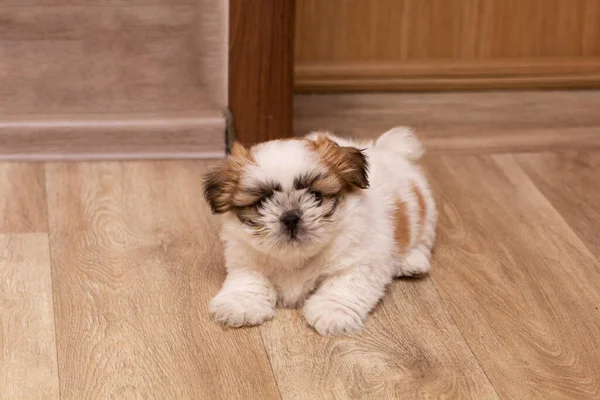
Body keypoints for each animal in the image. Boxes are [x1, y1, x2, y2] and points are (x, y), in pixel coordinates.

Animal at [203, 127, 436, 334]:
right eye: (261, 202)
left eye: (316, 195)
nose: (290, 217)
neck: (296, 257)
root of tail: (389, 151)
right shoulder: (246, 258)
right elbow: (250, 279)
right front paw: (240, 304)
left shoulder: (362, 261)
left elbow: (344, 285)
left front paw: (332, 312)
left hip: (424, 215)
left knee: (422, 240)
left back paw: (412, 262)